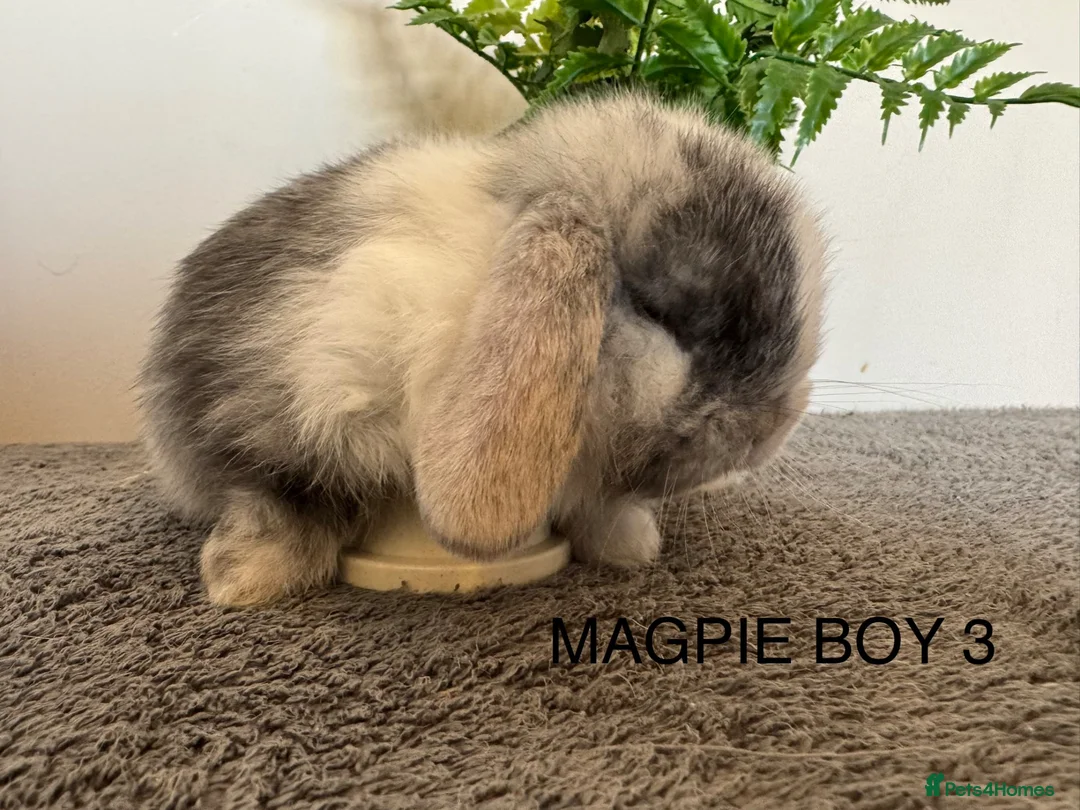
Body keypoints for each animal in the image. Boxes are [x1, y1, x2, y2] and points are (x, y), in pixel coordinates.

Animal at [138, 91, 827, 607]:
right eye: (661, 313)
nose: (770, 431)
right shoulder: (277, 400)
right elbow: (281, 492)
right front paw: (243, 580)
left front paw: (631, 546)